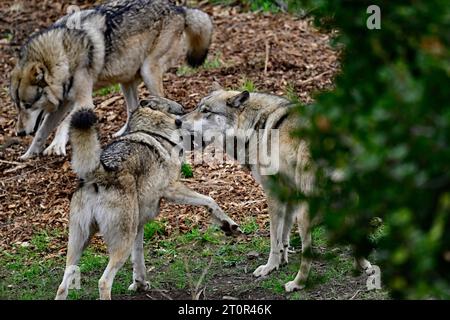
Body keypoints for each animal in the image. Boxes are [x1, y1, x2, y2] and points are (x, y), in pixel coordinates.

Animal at [8, 0, 213, 160]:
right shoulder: (63, 104)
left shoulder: (84, 102)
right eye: (18, 106)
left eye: (28, 105)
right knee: (133, 109)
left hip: (148, 71)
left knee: (166, 106)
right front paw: (28, 155)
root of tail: (179, 8)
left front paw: (56, 145)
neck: (64, 56)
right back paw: (126, 133)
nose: (19, 132)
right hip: (126, 80)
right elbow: (41, 131)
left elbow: (64, 124)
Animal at [54, 98, 241, 300]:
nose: (205, 136)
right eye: (182, 114)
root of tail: (98, 173)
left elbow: (138, 259)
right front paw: (229, 225)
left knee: (62, 286)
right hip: (120, 245)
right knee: (103, 282)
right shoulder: (173, 189)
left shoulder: (139, 226)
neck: (152, 132)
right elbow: (210, 200)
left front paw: (140, 284)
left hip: (79, 246)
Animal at [178, 85, 374, 292]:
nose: (178, 120)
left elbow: (274, 237)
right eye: (197, 107)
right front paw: (282, 260)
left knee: (308, 253)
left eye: (206, 111)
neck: (252, 127)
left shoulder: (274, 194)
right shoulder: (290, 194)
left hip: (305, 213)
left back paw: (297, 284)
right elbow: (284, 235)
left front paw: (269, 267)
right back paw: (362, 265)